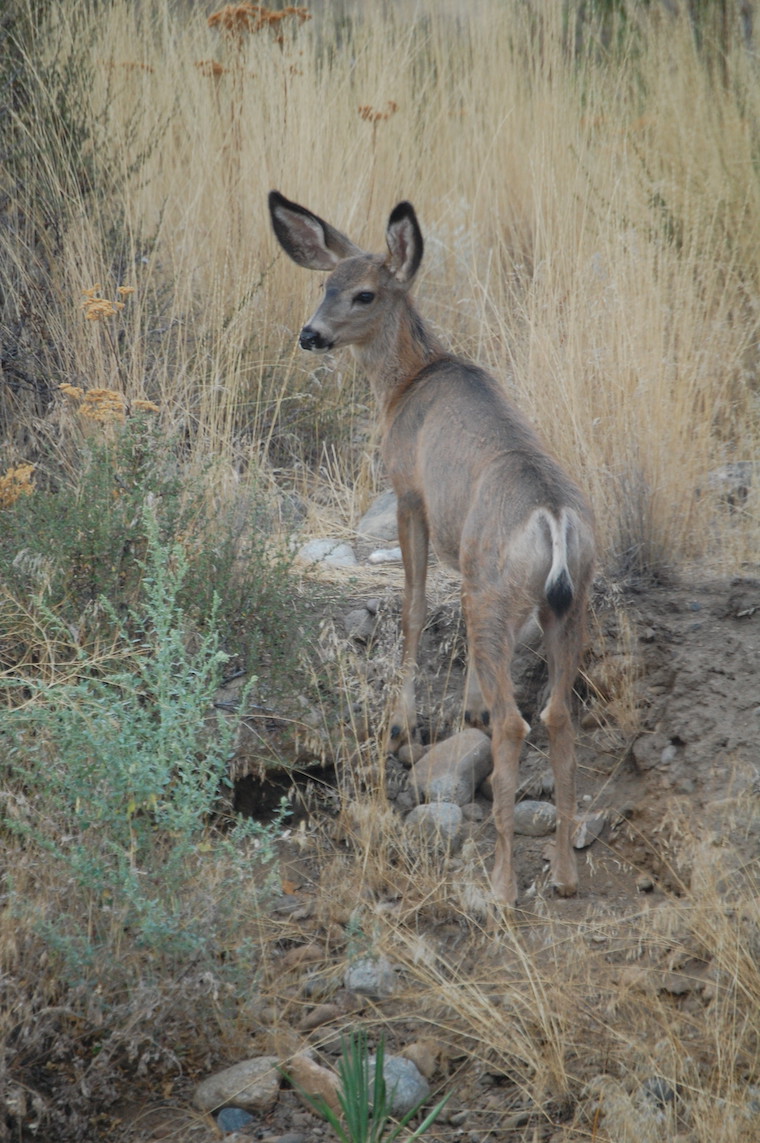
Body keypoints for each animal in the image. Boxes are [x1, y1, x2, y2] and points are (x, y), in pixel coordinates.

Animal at [268, 190, 595, 907]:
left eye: (363, 293)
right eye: (323, 284)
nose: (310, 335)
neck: (407, 382)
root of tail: (554, 520)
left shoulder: (409, 492)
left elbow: (414, 607)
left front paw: (401, 726)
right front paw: (464, 707)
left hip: (497, 588)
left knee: (516, 723)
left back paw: (501, 884)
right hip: (565, 603)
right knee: (558, 715)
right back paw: (562, 876)